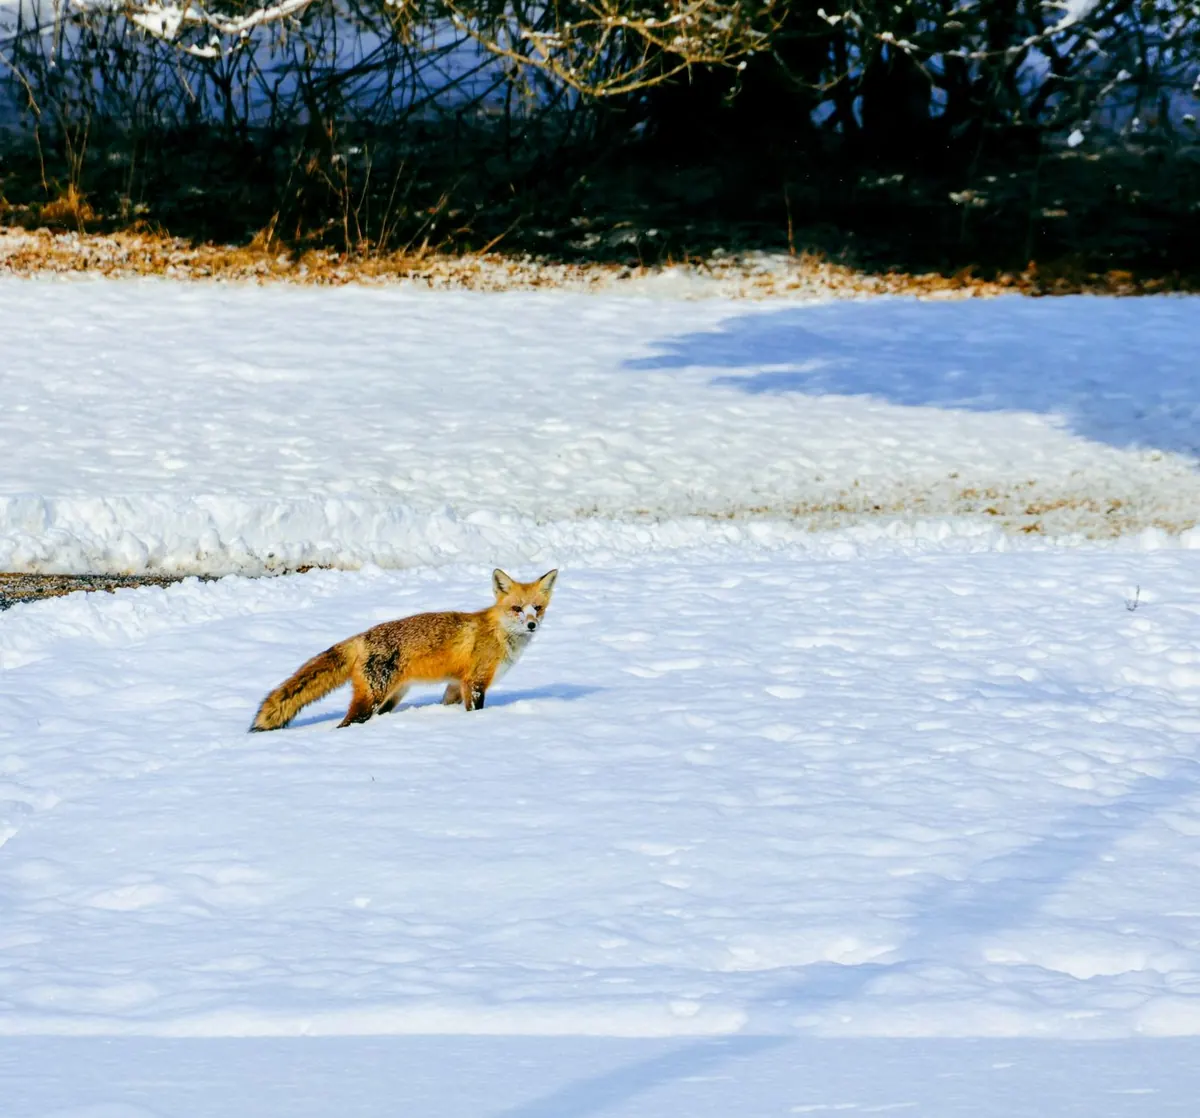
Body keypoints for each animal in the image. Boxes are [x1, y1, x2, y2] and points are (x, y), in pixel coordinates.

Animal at [250, 568, 558, 732]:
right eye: (517, 608)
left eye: (537, 608)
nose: (532, 624)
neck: (498, 633)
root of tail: (360, 637)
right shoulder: (475, 682)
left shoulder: (456, 684)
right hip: (371, 699)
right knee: (346, 723)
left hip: (391, 698)